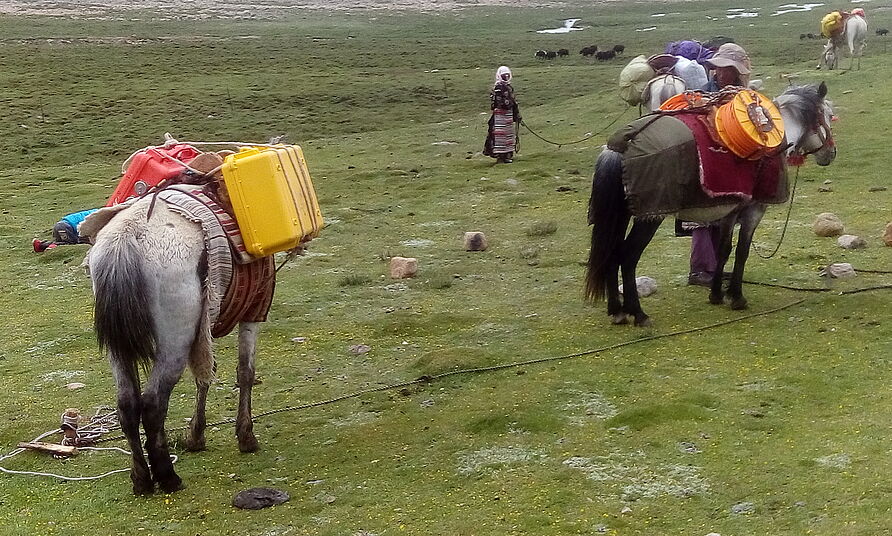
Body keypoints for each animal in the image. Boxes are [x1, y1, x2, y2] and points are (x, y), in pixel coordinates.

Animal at [87, 184, 278, 494]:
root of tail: (127, 236)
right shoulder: (254, 309)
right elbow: (245, 372)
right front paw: (246, 436)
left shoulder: (204, 328)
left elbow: (205, 375)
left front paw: (195, 436)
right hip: (174, 342)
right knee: (153, 403)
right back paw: (167, 477)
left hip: (119, 348)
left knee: (127, 403)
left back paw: (141, 479)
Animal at [584, 82, 836, 326]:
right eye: (829, 115)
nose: (831, 154)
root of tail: (622, 145)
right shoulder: (754, 210)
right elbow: (742, 251)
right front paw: (737, 297)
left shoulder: (730, 211)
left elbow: (723, 250)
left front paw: (717, 294)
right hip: (650, 216)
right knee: (627, 257)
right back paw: (638, 314)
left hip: (621, 214)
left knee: (611, 254)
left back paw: (617, 311)